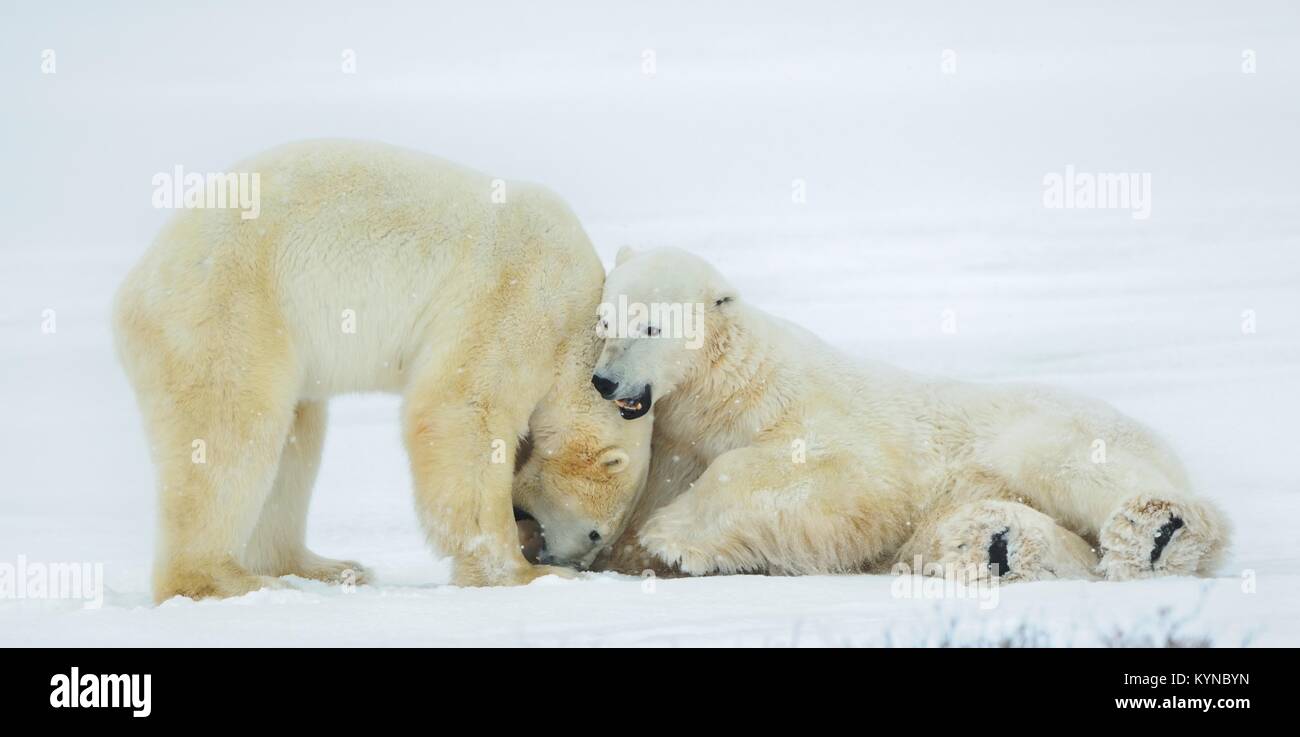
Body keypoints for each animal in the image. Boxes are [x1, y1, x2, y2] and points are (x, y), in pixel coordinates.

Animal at [116, 141, 655, 603]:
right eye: (595, 532)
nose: (577, 562)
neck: (585, 326)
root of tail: (136, 285)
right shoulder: (520, 296)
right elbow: (460, 409)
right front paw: (525, 573)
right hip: (230, 311)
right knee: (229, 433)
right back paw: (227, 581)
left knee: (296, 439)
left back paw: (325, 567)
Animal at [590, 248, 1227, 582]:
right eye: (604, 319)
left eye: (652, 326)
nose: (604, 381)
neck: (729, 391)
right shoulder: (676, 441)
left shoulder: (814, 410)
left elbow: (845, 477)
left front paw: (671, 535)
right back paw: (994, 545)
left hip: (1060, 426)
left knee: (1072, 468)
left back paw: (1160, 531)